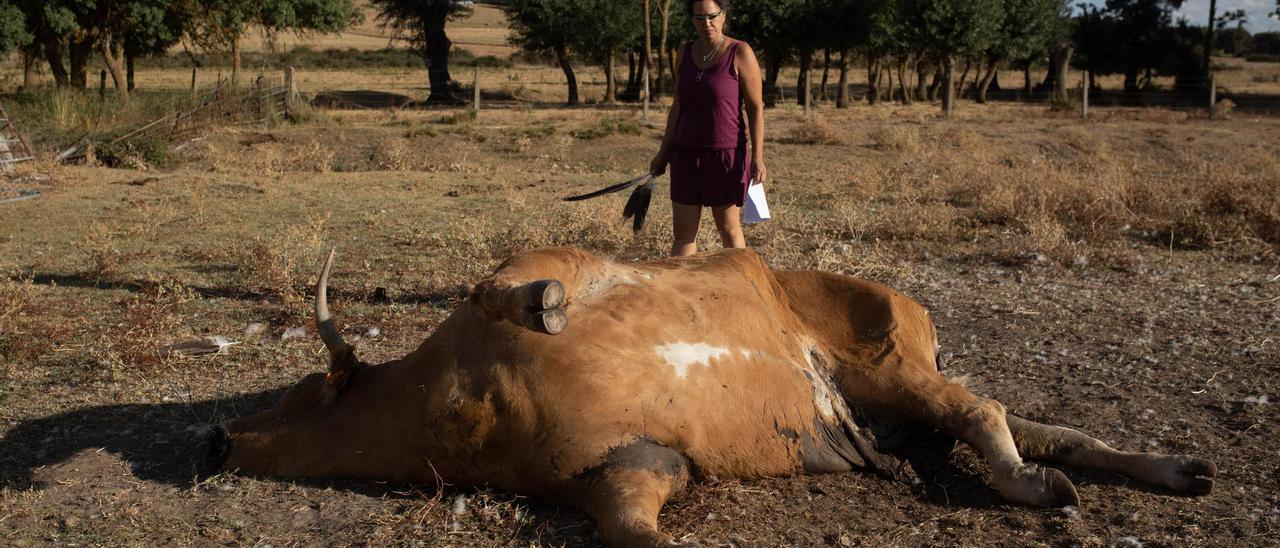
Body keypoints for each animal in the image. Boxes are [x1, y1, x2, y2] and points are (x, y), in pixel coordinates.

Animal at [204, 248, 1213, 548]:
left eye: (311, 388)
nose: (218, 437)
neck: (461, 407)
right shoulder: (633, 470)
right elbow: (634, 529)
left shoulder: (530, 272)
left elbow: (509, 286)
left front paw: (546, 304)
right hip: (892, 415)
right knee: (1041, 428)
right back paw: (1176, 468)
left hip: (887, 364)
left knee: (985, 413)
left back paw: (1047, 487)